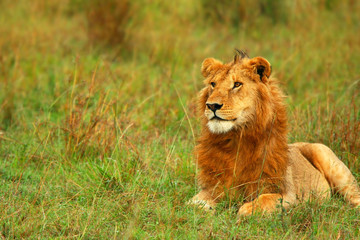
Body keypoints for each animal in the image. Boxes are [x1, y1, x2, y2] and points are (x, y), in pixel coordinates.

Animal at [188, 50, 360, 216]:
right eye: (213, 84)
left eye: (237, 84)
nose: (212, 105)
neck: (235, 139)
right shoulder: (211, 188)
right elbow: (193, 205)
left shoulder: (288, 194)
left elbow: (261, 201)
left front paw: (242, 212)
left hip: (329, 160)